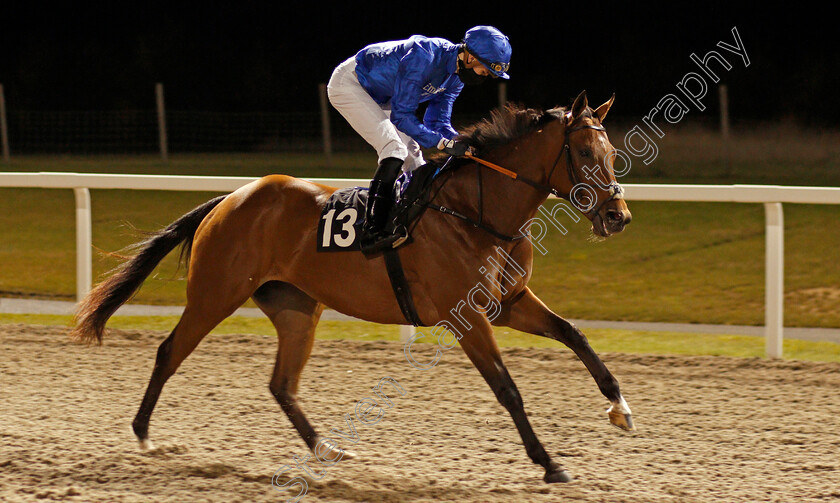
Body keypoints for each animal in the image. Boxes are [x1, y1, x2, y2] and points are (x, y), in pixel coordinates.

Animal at [72, 90, 632, 484]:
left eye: (611, 150)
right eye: (585, 151)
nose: (618, 216)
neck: (477, 211)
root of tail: (230, 198)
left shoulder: (508, 304)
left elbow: (576, 334)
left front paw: (620, 409)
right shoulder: (467, 316)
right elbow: (508, 388)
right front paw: (550, 463)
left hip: (297, 308)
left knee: (281, 383)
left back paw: (326, 449)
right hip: (215, 295)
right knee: (169, 352)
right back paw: (144, 438)